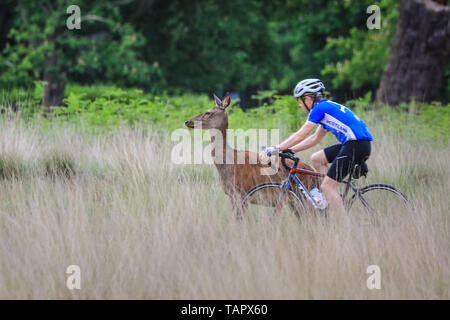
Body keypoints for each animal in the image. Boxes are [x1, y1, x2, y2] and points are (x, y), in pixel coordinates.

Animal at [185, 92, 318, 218]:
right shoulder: (233, 196)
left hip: (303, 196)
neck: (229, 163)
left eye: (208, 112)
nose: (187, 121)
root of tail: (313, 172)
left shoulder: (241, 193)